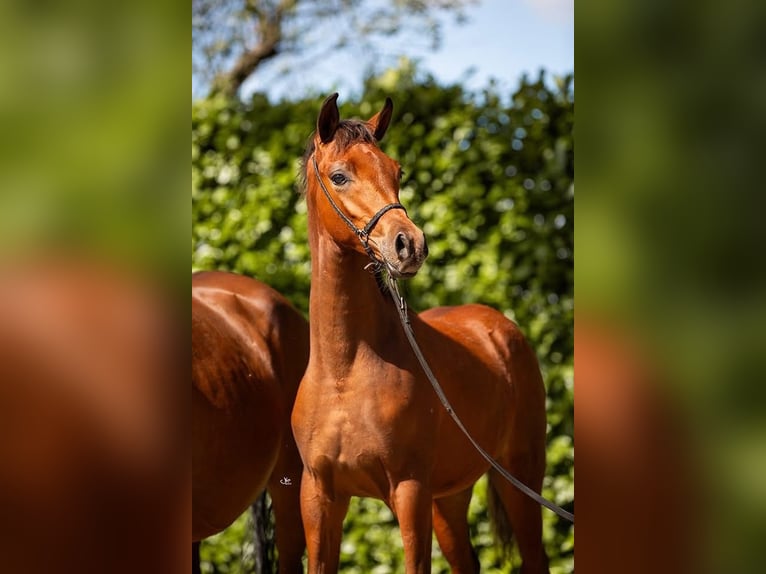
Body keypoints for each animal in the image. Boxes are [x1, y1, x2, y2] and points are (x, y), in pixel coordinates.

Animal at [291, 93, 550, 574]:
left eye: (397, 172)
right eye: (340, 176)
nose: (409, 245)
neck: (344, 372)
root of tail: (500, 327)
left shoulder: (410, 492)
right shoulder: (318, 498)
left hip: (520, 478)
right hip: (449, 497)